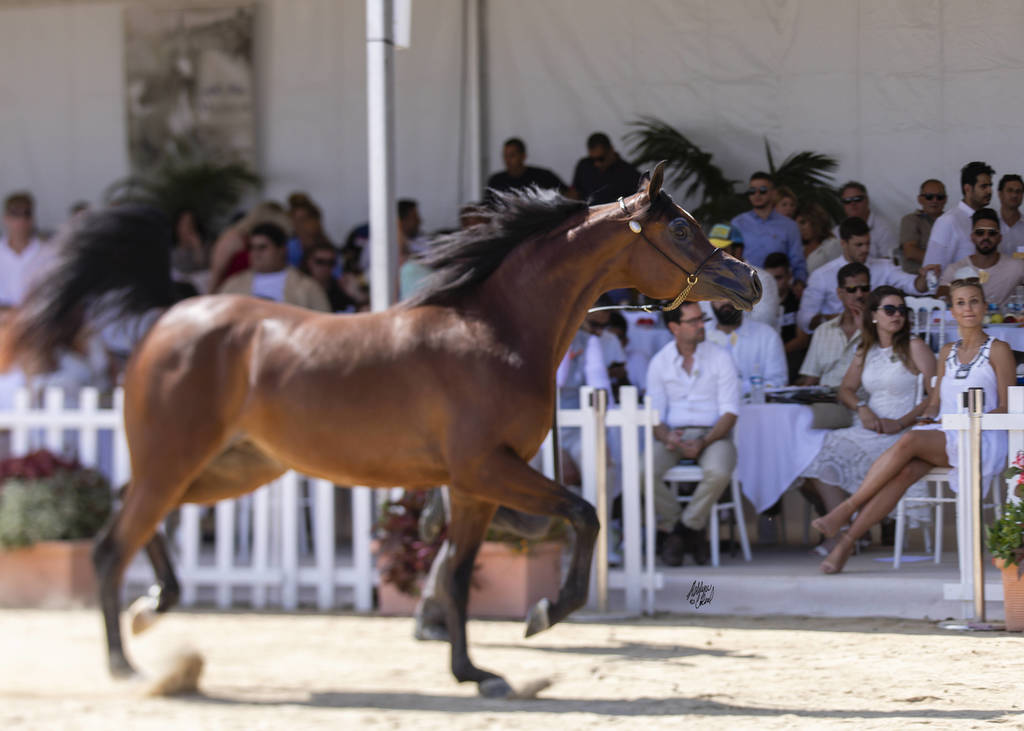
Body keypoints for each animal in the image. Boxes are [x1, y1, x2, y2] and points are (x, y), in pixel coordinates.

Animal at [1, 162, 760, 698]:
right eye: (682, 229)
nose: (748, 281)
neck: (496, 330)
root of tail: (173, 313)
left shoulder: (474, 484)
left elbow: (464, 568)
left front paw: (474, 668)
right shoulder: (486, 468)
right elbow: (580, 515)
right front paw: (539, 615)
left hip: (227, 468)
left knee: (132, 517)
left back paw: (153, 607)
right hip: (179, 461)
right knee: (110, 543)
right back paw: (128, 663)